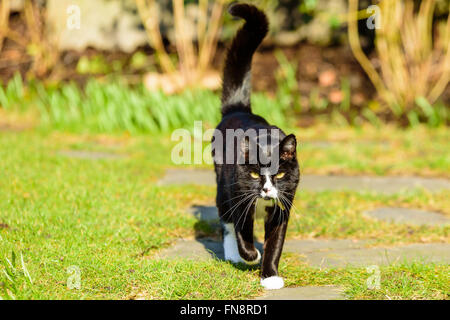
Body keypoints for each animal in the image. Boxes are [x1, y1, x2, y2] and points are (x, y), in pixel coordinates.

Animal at [214, 3, 300, 292]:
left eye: (280, 174)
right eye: (253, 173)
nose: (265, 189)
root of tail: (238, 108)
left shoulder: (283, 206)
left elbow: (275, 243)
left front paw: (270, 274)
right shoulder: (239, 196)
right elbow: (242, 229)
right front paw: (251, 255)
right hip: (222, 187)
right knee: (226, 221)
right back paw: (233, 254)